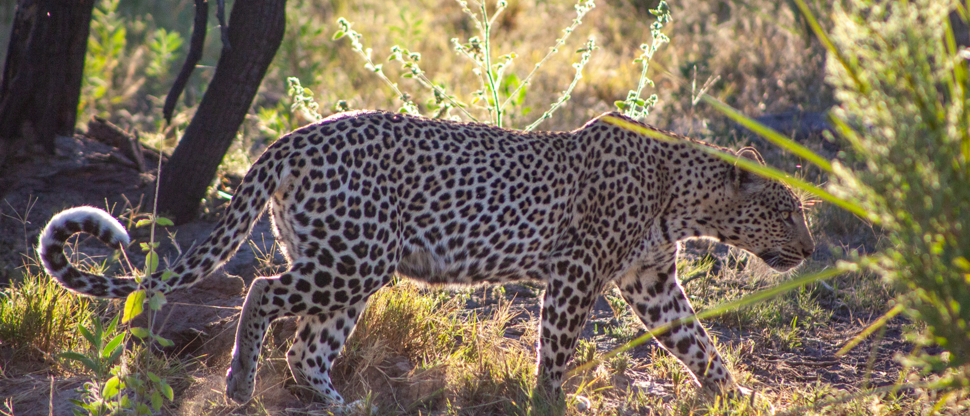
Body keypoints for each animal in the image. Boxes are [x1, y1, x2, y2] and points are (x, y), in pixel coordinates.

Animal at [39, 110, 814, 407]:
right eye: (786, 211)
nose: (810, 251)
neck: (681, 196)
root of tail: (294, 136)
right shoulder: (575, 274)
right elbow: (556, 349)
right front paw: (552, 401)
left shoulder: (652, 282)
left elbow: (700, 344)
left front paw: (739, 397)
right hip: (353, 258)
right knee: (262, 292)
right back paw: (238, 382)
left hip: (349, 264)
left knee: (307, 348)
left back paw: (339, 405)